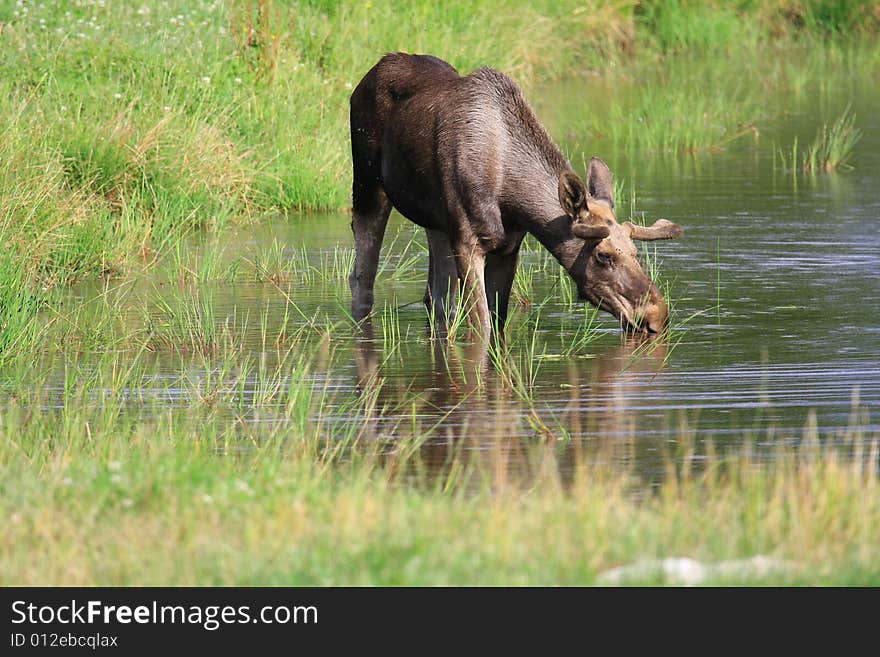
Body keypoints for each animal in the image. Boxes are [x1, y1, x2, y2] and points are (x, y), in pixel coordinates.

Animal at [348, 52, 684, 338]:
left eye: (636, 253)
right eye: (603, 255)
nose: (656, 316)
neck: (510, 192)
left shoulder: (508, 246)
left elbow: (497, 322)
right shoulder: (470, 242)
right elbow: (481, 327)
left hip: (437, 223)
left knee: (436, 297)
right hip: (367, 186)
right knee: (361, 278)